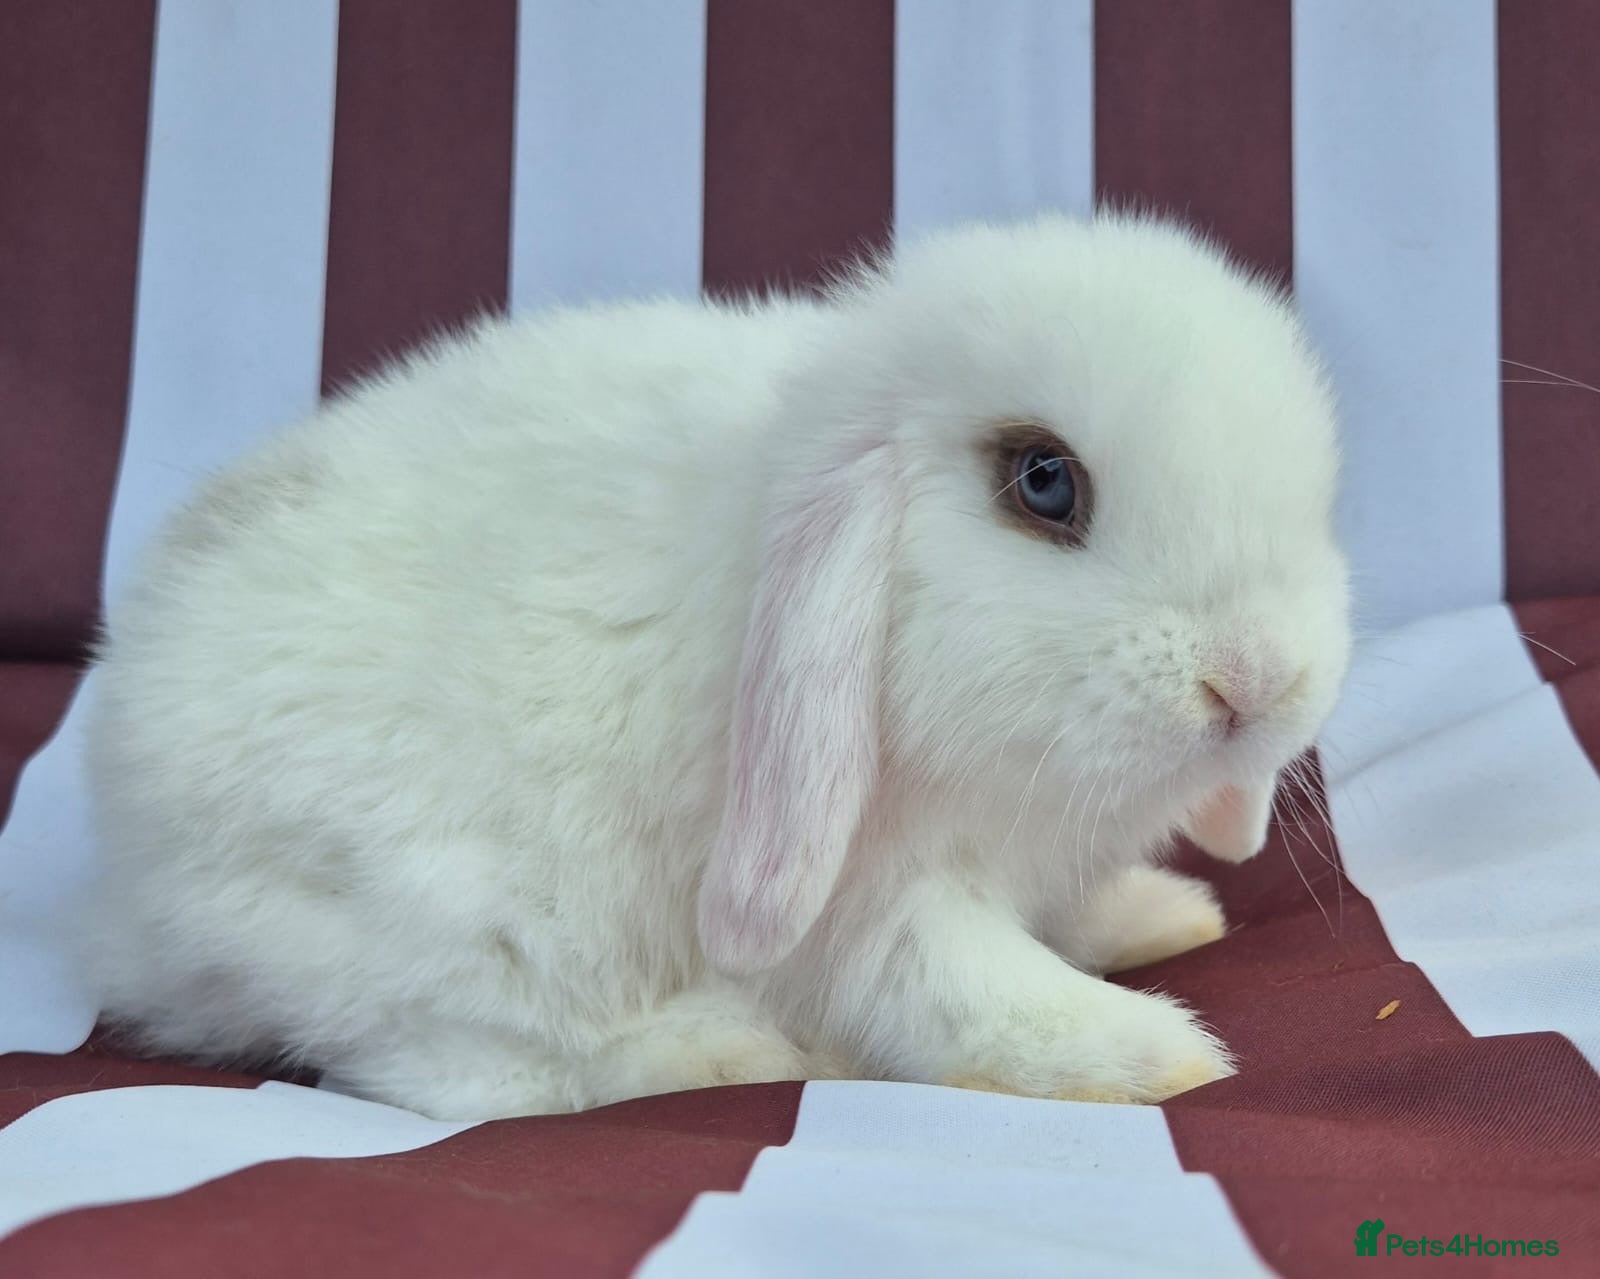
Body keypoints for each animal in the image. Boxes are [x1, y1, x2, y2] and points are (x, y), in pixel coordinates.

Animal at [78, 211, 1351, 1121]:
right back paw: (715, 1051)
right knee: (459, 1070)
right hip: (432, 925)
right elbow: (969, 995)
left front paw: (1162, 918)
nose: (1251, 678)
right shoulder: (877, 903)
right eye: (1043, 482)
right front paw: (1156, 1055)